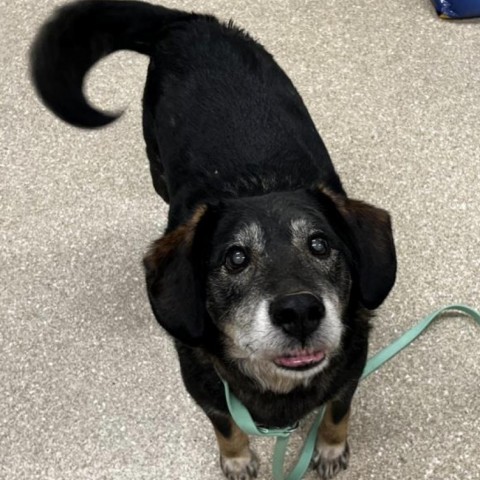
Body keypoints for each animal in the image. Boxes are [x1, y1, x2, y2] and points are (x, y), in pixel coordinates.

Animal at [31, 1, 398, 478]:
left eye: (320, 245)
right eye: (235, 258)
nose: (300, 311)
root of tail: (190, 22)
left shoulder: (351, 368)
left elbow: (337, 411)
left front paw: (331, 449)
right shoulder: (203, 388)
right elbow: (226, 425)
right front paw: (238, 458)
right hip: (155, 161)